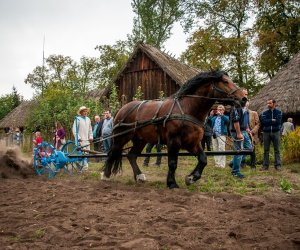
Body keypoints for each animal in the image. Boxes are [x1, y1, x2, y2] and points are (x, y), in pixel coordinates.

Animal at [102, 70, 247, 188]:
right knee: (112, 153)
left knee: (131, 155)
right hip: (121, 137)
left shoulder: (192, 143)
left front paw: (191, 178)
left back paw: (139, 176)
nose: (244, 98)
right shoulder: (173, 141)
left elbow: (203, 159)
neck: (188, 109)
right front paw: (172, 183)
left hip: (140, 139)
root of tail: (122, 108)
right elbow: (172, 163)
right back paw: (105, 175)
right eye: (225, 81)